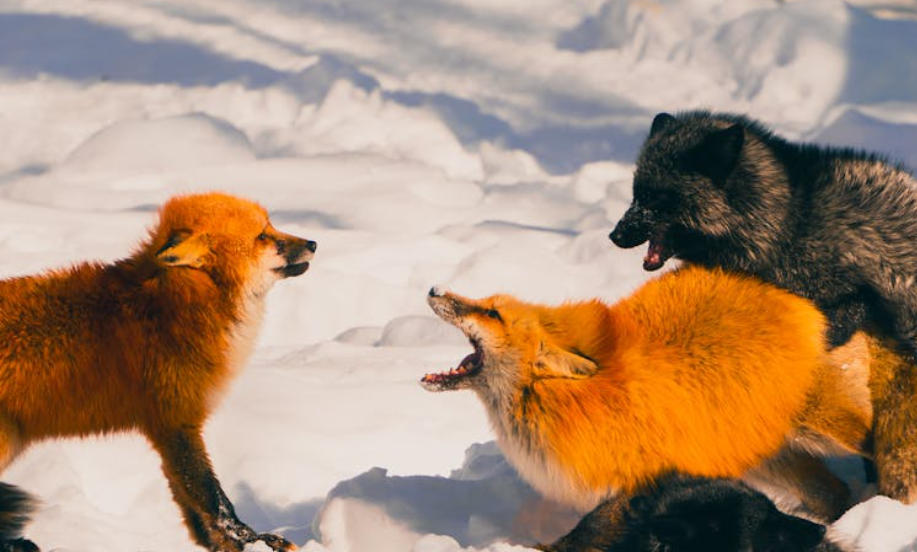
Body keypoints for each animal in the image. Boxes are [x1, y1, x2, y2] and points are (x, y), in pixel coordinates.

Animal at [0, 192, 315, 552]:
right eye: (263, 235)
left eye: (272, 226)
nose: (314, 243)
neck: (182, 301)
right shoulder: (176, 422)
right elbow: (214, 499)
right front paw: (251, 539)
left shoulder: (166, 429)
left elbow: (195, 513)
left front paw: (227, 546)